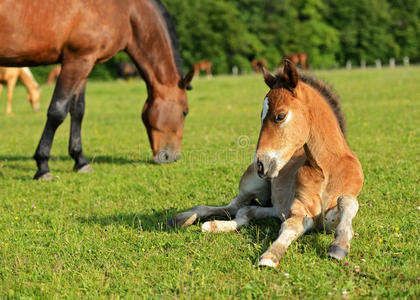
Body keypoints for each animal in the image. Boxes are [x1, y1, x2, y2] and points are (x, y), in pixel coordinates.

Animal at [0, 0, 194, 180]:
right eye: (184, 112)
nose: (172, 157)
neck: (124, 11)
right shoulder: (76, 61)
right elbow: (57, 112)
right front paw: (42, 166)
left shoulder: (85, 65)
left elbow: (78, 111)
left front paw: (80, 161)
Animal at [169, 59, 362, 268]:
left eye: (280, 116)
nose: (261, 164)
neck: (327, 169)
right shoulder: (299, 209)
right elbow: (291, 226)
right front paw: (271, 255)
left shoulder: (328, 217)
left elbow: (347, 202)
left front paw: (339, 245)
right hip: (253, 185)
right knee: (232, 207)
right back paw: (185, 219)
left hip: (274, 207)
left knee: (246, 211)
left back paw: (213, 225)